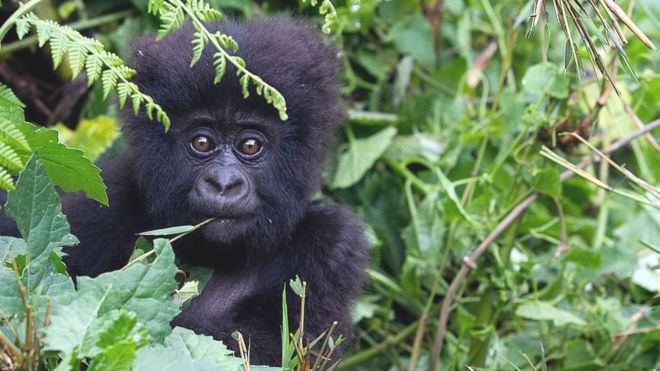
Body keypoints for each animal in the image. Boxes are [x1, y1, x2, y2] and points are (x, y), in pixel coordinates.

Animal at [60, 18, 368, 364]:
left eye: (250, 145)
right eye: (202, 142)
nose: (223, 183)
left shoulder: (334, 244)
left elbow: (281, 349)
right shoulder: (104, 202)